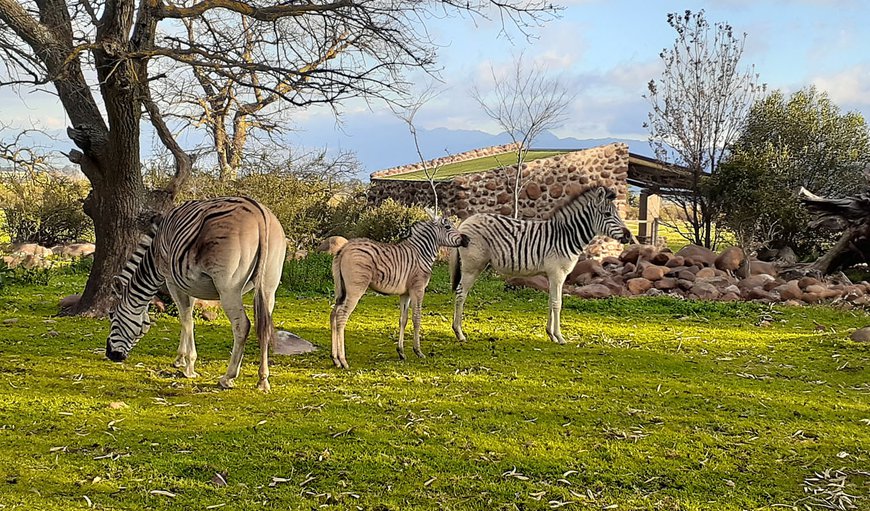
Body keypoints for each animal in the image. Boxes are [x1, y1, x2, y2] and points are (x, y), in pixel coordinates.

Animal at [104, 196, 284, 392]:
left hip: (229, 289)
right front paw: (180, 359)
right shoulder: (188, 284)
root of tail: (259, 213)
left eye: (112, 316)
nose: (110, 354)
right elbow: (187, 317)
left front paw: (189, 366)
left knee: (242, 326)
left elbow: (186, 319)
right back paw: (263, 379)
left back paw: (227, 377)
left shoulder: (172, 281)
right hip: (269, 287)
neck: (155, 254)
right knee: (264, 327)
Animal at [330, 218, 470, 370]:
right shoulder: (418, 289)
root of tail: (344, 248)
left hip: (341, 291)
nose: (467, 239)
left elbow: (403, 319)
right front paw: (418, 351)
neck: (421, 253)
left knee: (334, 314)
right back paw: (343, 360)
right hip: (355, 290)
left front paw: (401, 352)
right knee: (342, 316)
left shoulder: (405, 294)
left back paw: (335, 359)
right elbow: (417, 318)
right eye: (448, 227)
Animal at [450, 186, 632, 346]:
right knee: (461, 293)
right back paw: (459, 333)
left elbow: (551, 301)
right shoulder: (558, 273)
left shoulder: (554, 275)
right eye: (607, 214)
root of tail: (465, 221)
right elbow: (558, 303)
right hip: (472, 266)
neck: (566, 236)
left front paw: (551, 334)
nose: (629, 236)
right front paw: (560, 337)